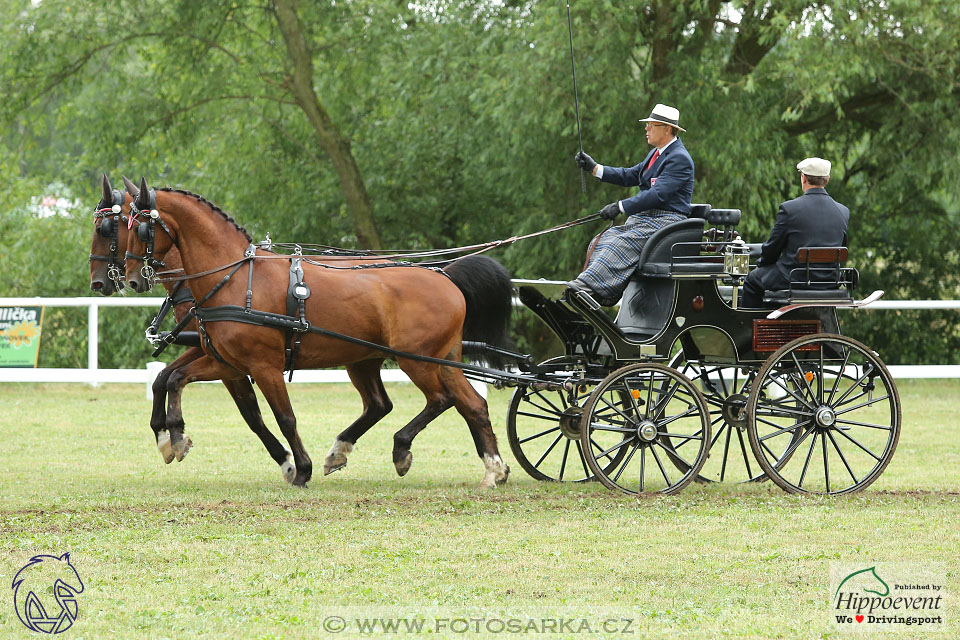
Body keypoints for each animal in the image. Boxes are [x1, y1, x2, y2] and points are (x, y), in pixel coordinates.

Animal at [93, 175, 296, 480]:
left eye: (104, 229)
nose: (97, 282)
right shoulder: (206, 348)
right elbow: (162, 377)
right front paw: (165, 436)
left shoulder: (224, 356)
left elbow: (251, 415)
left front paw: (285, 458)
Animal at [123, 178, 512, 488]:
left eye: (140, 229)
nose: (130, 279)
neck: (235, 278)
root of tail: (443, 275)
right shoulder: (227, 362)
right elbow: (174, 380)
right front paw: (174, 435)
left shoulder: (262, 366)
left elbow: (284, 417)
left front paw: (301, 469)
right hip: (427, 358)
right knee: (468, 404)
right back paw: (493, 468)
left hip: (416, 360)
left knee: (440, 400)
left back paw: (401, 449)